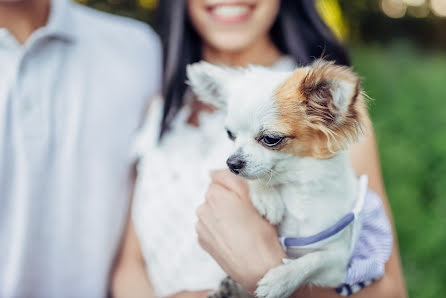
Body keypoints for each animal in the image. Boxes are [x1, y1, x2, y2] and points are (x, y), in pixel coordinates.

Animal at [187, 58, 370, 298]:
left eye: (270, 139)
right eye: (230, 134)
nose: (232, 163)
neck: (293, 184)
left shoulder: (338, 264)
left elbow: (313, 260)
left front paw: (280, 281)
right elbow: (256, 178)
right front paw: (267, 200)